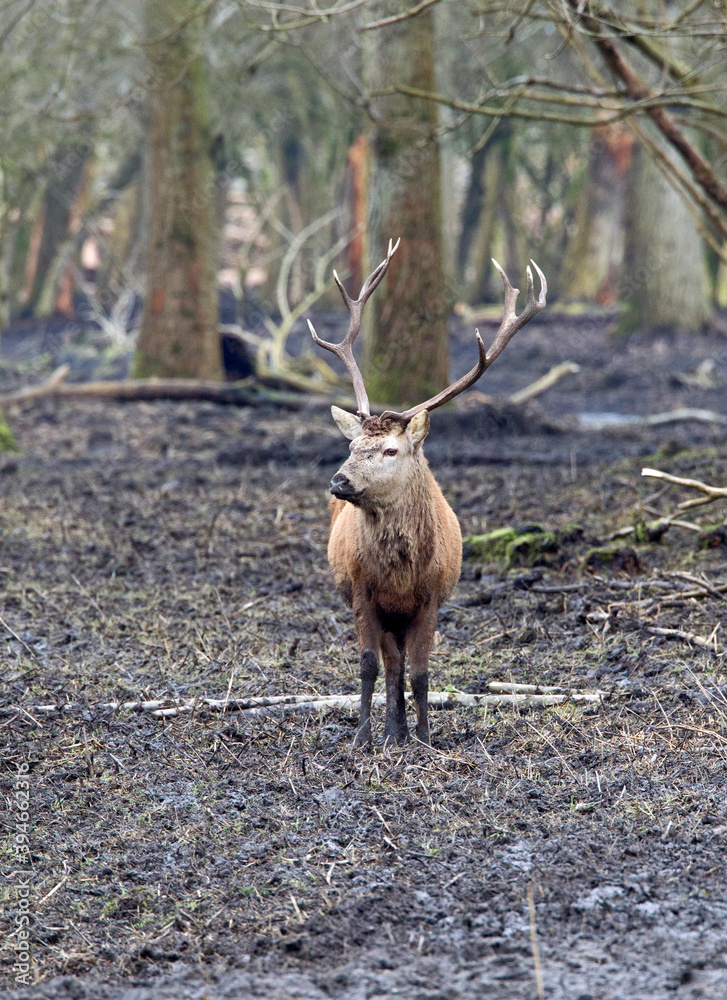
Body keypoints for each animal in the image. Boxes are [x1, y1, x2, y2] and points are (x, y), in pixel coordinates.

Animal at [308, 240, 546, 747]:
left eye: (391, 449)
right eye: (352, 446)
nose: (339, 482)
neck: (400, 575)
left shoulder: (432, 598)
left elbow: (421, 671)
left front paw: (424, 736)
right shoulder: (362, 591)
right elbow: (369, 665)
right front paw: (364, 737)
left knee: (402, 663)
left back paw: (401, 732)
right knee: (389, 662)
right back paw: (389, 731)